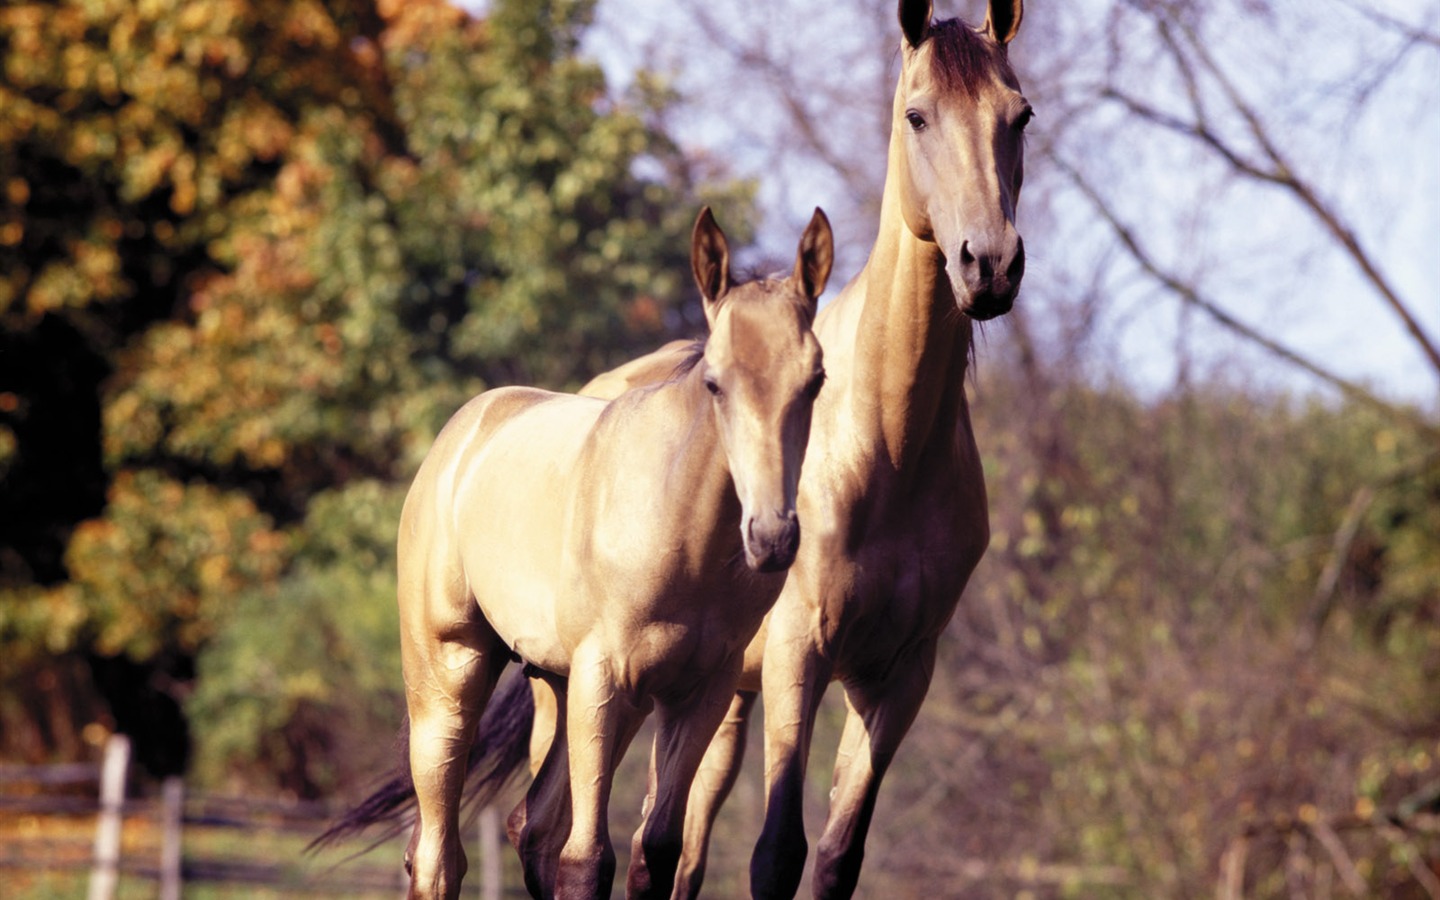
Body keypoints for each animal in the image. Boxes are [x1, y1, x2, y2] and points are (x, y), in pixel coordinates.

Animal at [315, 205, 835, 898]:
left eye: (815, 380)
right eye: (715, 382)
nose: (773, 537)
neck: (677, 529)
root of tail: (462, 435)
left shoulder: (699, 691)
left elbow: (654, 854)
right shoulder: (604, 677)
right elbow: (588, 861)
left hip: (567, 689)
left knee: (530, 828)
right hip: (452, 674)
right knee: (438, 854)